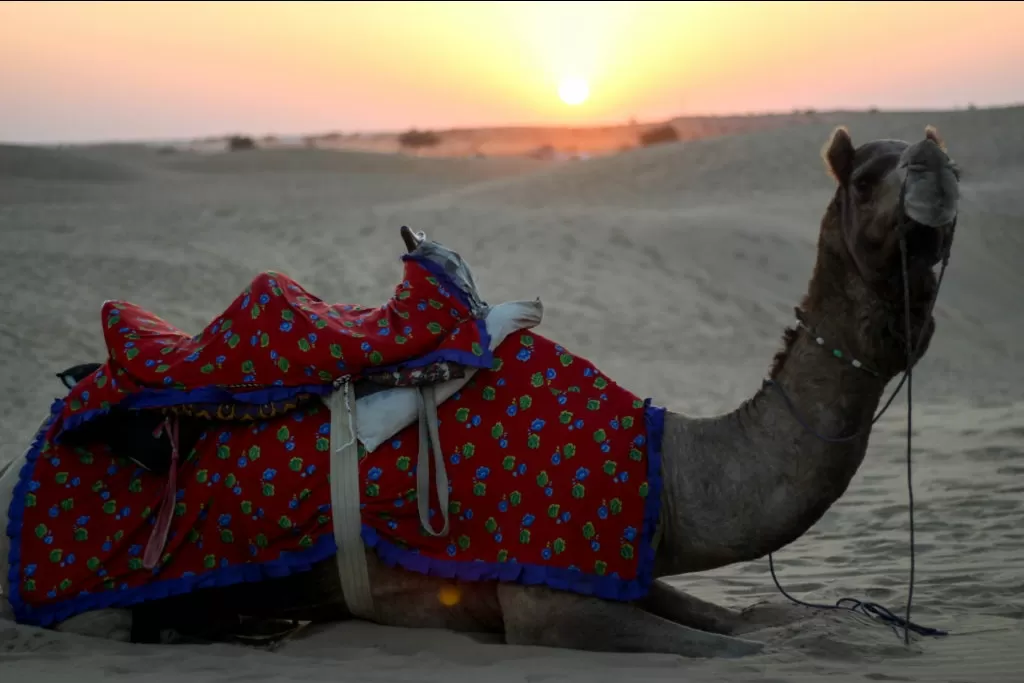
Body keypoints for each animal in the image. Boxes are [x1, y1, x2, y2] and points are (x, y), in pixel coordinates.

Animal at [0, 125, 958, 659]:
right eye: (866, 176)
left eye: (926, 153)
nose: (937, 164)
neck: (673, 464)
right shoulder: (550, 605)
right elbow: (736, 653)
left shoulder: (617, 566)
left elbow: (746, 622)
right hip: (89, 600)